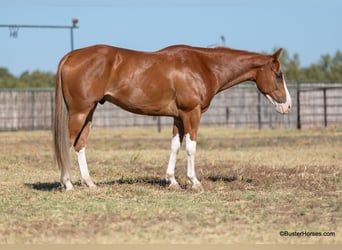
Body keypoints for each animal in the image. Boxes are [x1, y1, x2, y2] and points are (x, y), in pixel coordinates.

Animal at [53, 44, 292, 189]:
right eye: (278, 75)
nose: (288, 106)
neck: (203, 66)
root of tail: (71, 55)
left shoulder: (178, 117)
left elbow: (175, 146)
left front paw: (172, 180)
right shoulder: (191, 113)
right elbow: (191, 147)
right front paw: (194, 181)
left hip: (89, 112)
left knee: (80, 144)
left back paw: (89, 183)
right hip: (80, 111)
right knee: (68, 143)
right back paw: (68, 184)